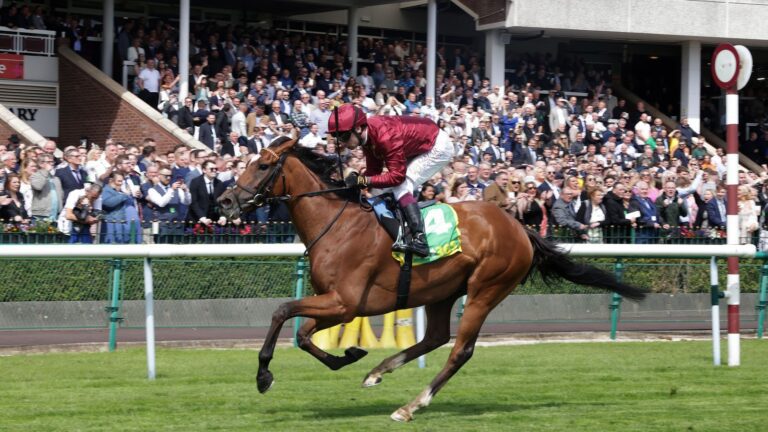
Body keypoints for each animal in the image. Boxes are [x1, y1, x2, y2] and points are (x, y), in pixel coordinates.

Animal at [219, 136, 644, 422]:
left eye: (262, 166)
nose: (225, 201)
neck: (336, 225)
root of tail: (520, 227)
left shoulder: (346, 302)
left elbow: (282, 311)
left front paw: (264, 375)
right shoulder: (335, 304)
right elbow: (305, 334)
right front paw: (350, 355)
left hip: (485, 289)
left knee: (460, 350)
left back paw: (411, 406)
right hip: (442, 290)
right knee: (436, 335)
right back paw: (378, 372)